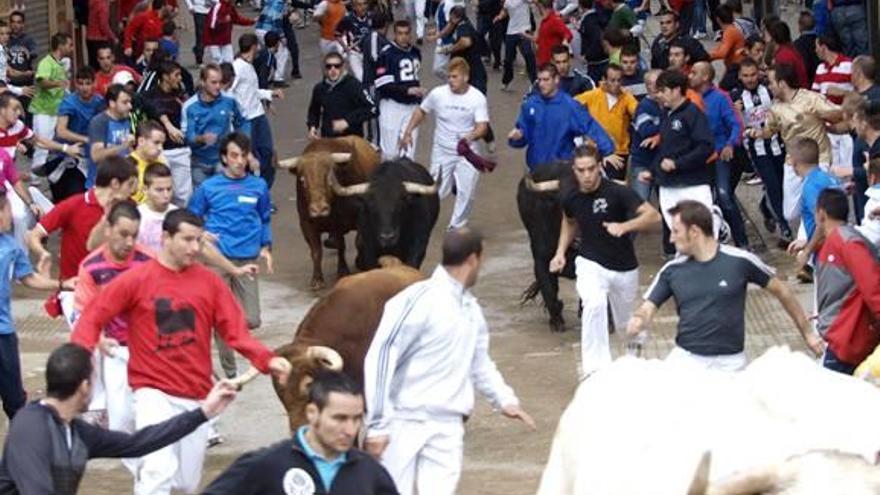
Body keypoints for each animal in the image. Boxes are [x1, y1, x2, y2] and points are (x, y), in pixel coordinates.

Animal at [280, 136, 380, 290]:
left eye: (329, 178)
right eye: (302, 181)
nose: (319, 209)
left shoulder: (357, 217)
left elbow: (354, 243)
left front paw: (350, 267)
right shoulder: (307, 224)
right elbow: (316, 251)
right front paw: (317, 279)